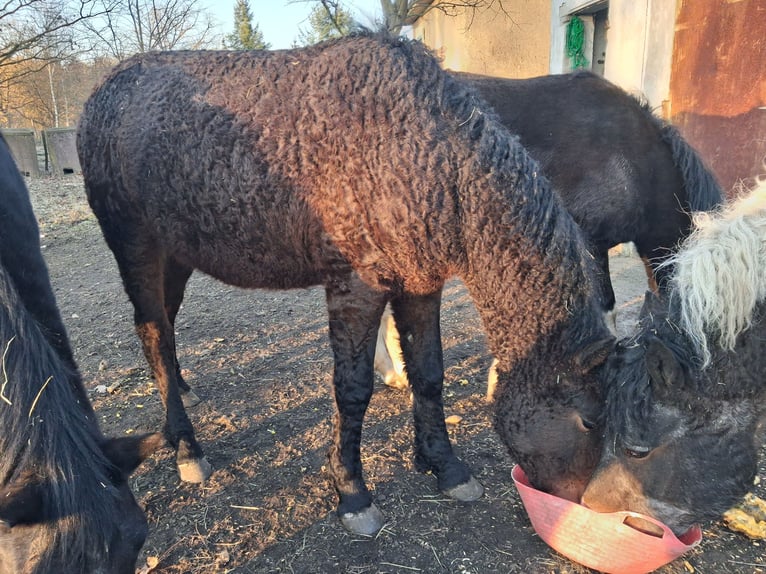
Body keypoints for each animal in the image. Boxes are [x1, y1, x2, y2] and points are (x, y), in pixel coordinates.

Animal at [76, 34, 614, 536]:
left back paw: (182, 398)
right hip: (136, 248)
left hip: (177, 257)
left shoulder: (421, 284)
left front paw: (445, 466)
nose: (578, 506)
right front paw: (352, 491)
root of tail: (101, 94)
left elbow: (429, 373)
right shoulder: (358, 288)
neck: (426, 155)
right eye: (589, 419)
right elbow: (352, 389)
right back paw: (186, 447)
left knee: (165, 332)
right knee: (154, 334)